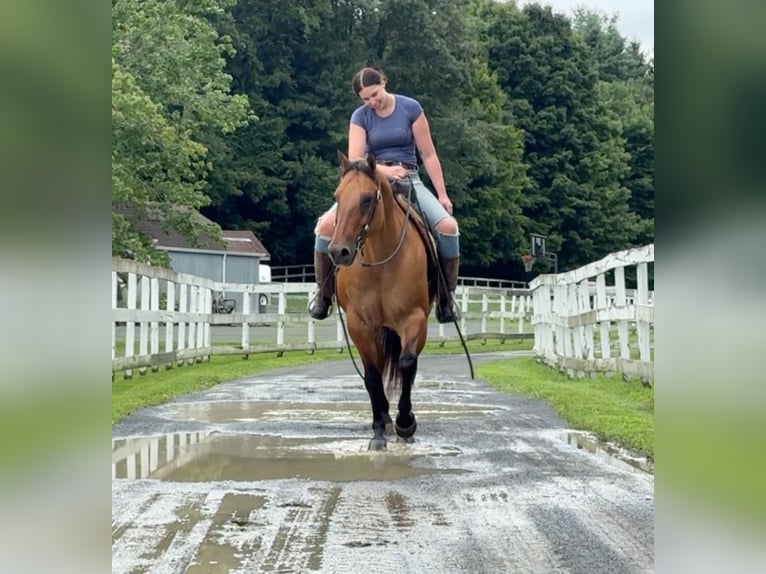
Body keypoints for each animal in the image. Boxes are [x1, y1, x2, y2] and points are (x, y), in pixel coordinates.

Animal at [330, 151, 438, 452]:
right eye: (337, 196)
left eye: (367, 198)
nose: (339, 251)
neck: (380, 263)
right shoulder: (359, 325)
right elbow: (372, 375)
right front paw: (379, 430)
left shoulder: (414, 319)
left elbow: (407, 364)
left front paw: (406, 423)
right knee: (377, 367)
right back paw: (385, 421)